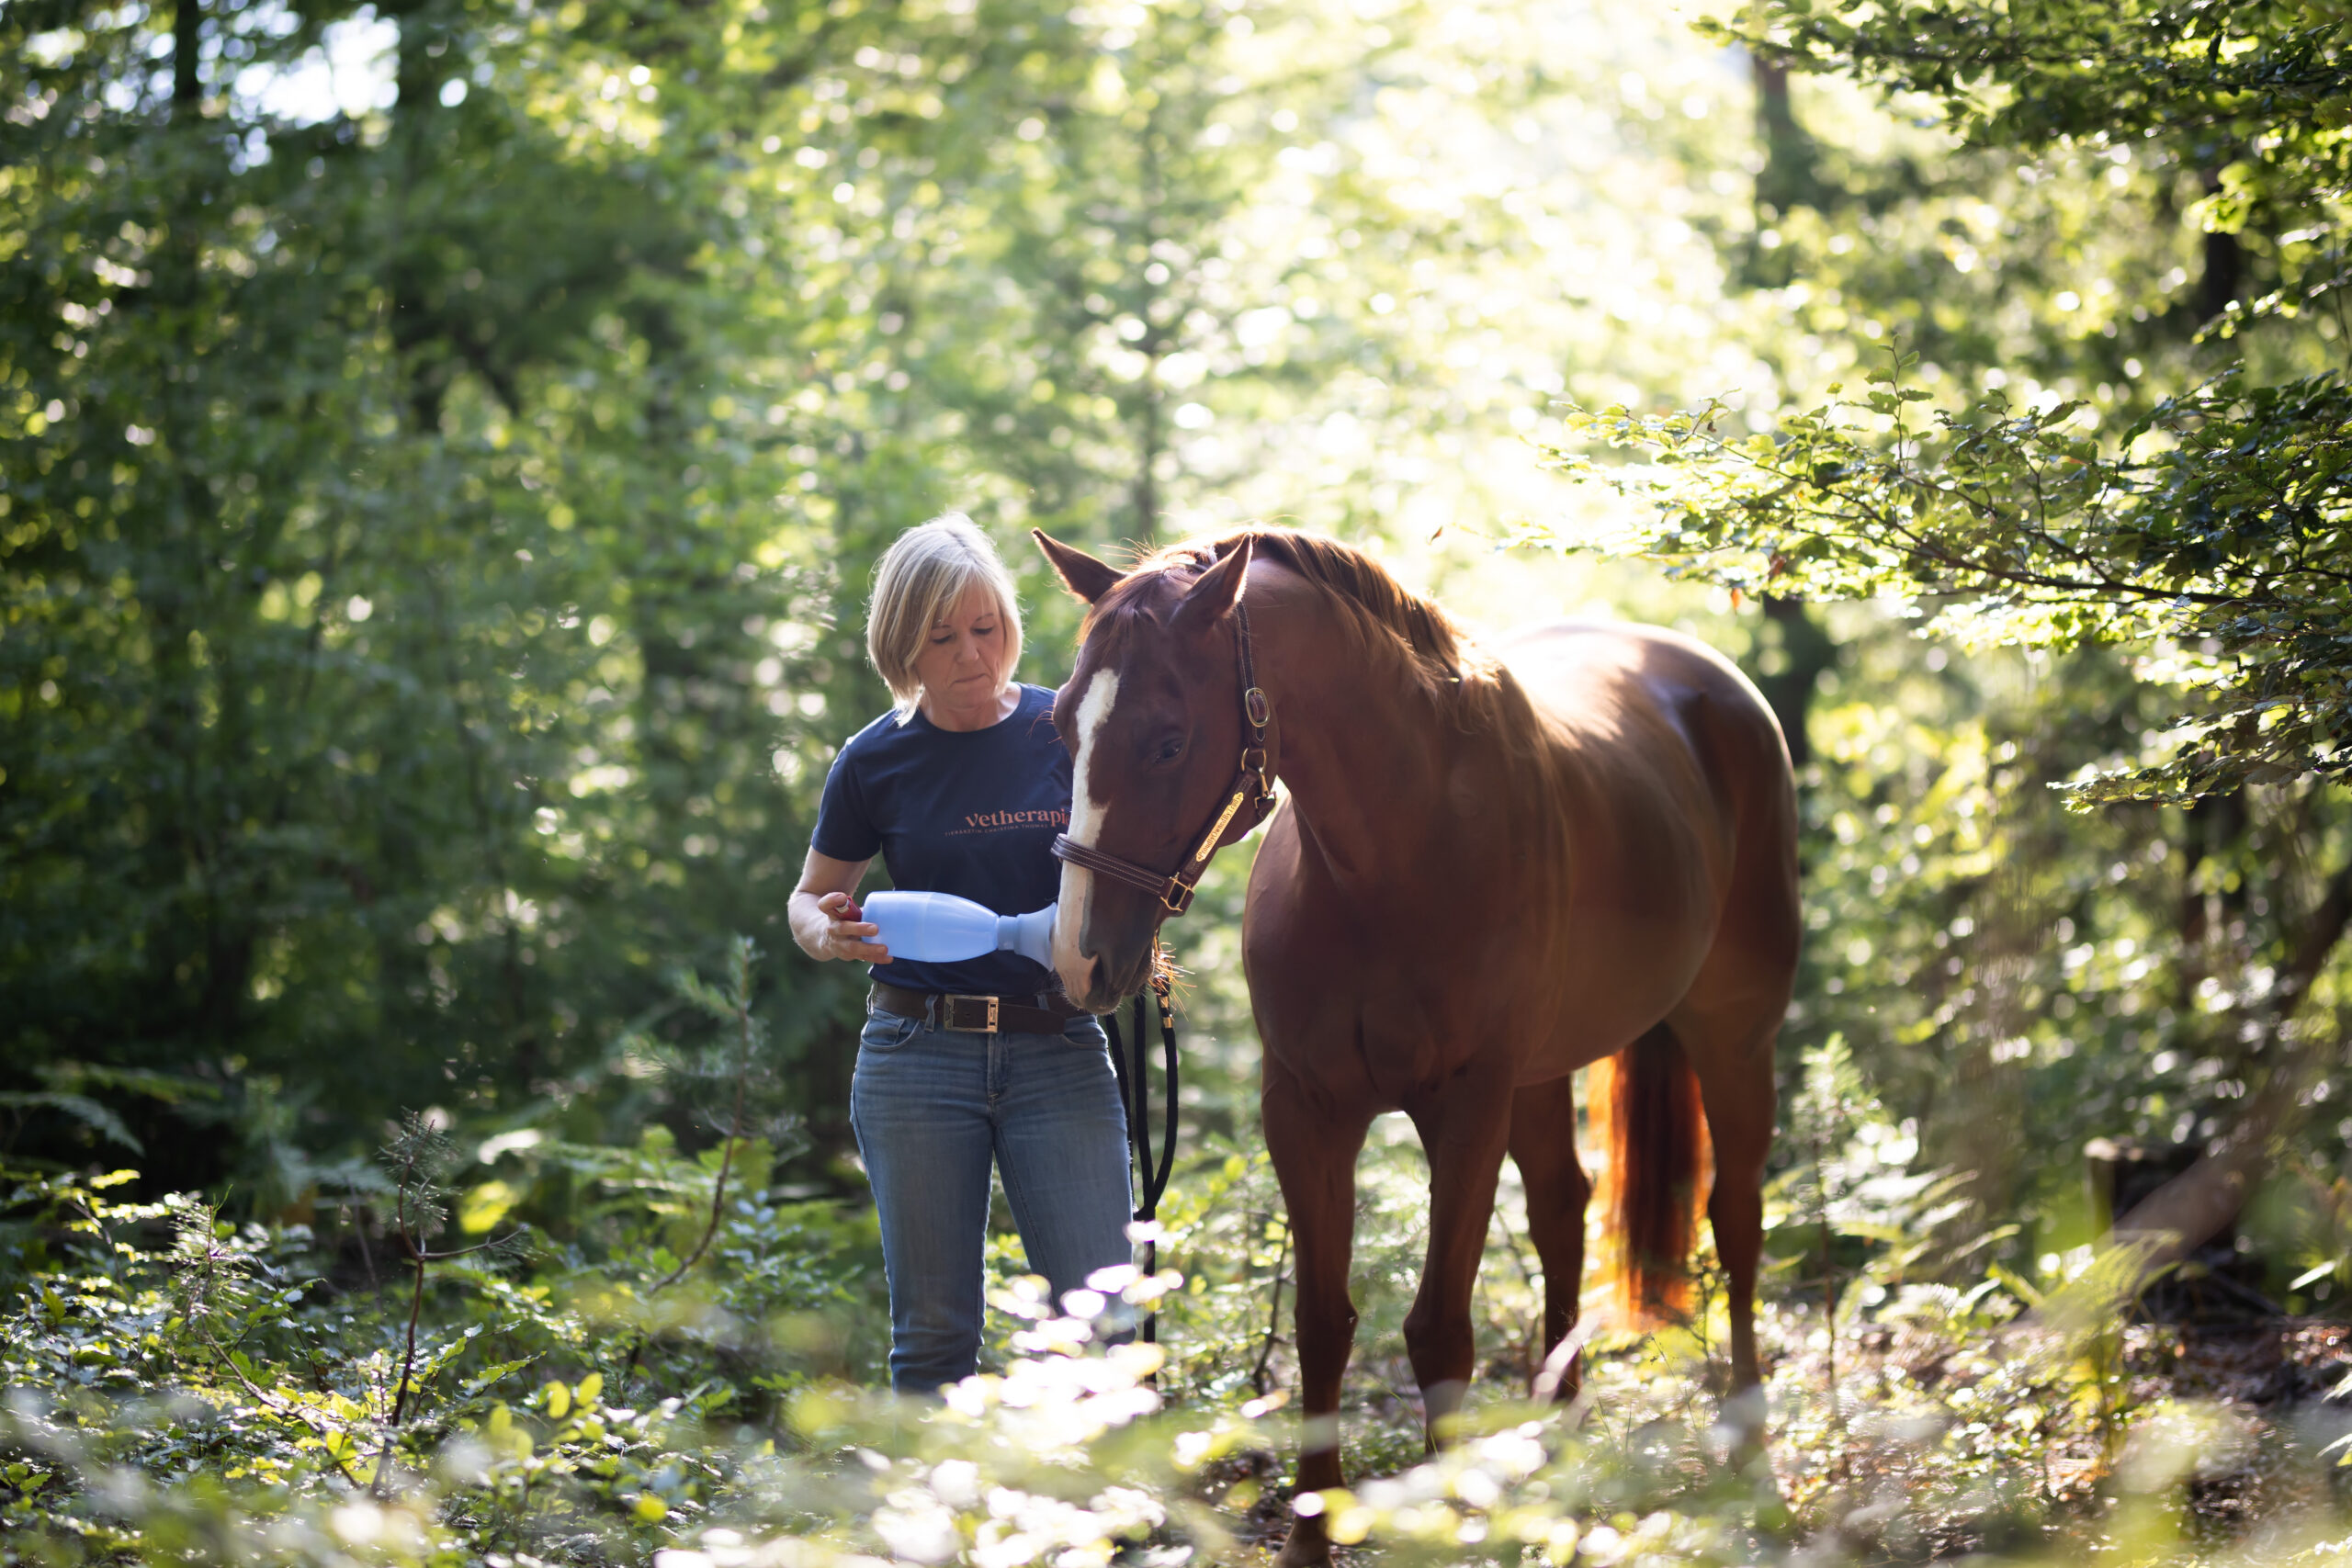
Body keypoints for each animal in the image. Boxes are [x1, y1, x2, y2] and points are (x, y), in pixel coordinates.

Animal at [1035, 531, 1796, 1568]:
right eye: (1063, 729)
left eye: (1166, 739)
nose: (1080, 960)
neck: (1395, 855)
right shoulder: (1306, 1110)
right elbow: (1322, 1321)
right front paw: (1311, 1536)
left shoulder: (1464, 1109)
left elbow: (1439, 1333)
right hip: (1542, 1074)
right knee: (1563, 1209)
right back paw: (1559, 1443)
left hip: (1733, 1037)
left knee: (1736, 1221)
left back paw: (1752, 1459)